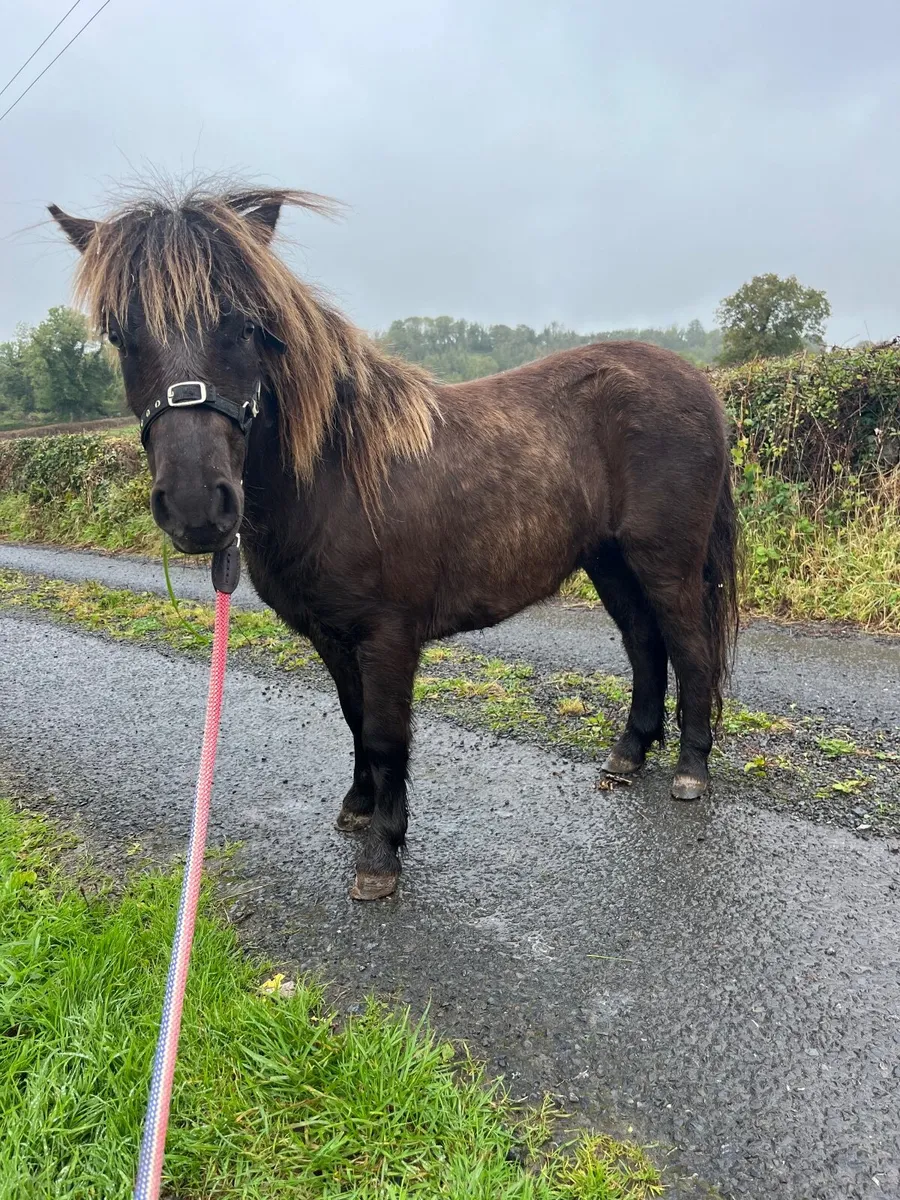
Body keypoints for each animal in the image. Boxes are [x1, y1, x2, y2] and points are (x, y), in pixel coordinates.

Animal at [50, 186, 739, 901]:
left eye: (242, 324)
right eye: (119, 333)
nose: (195, 505)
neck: (338, 473)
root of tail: (697, 382)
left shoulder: (387, 636)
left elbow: (384, 735)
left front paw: (382, 853)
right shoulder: (330, 634)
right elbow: (354, 717)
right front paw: (359, 808)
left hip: (665, 562)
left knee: (690, 648)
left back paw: (691, 770)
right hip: (609, 562)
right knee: (644, 644)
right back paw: (628, 754)